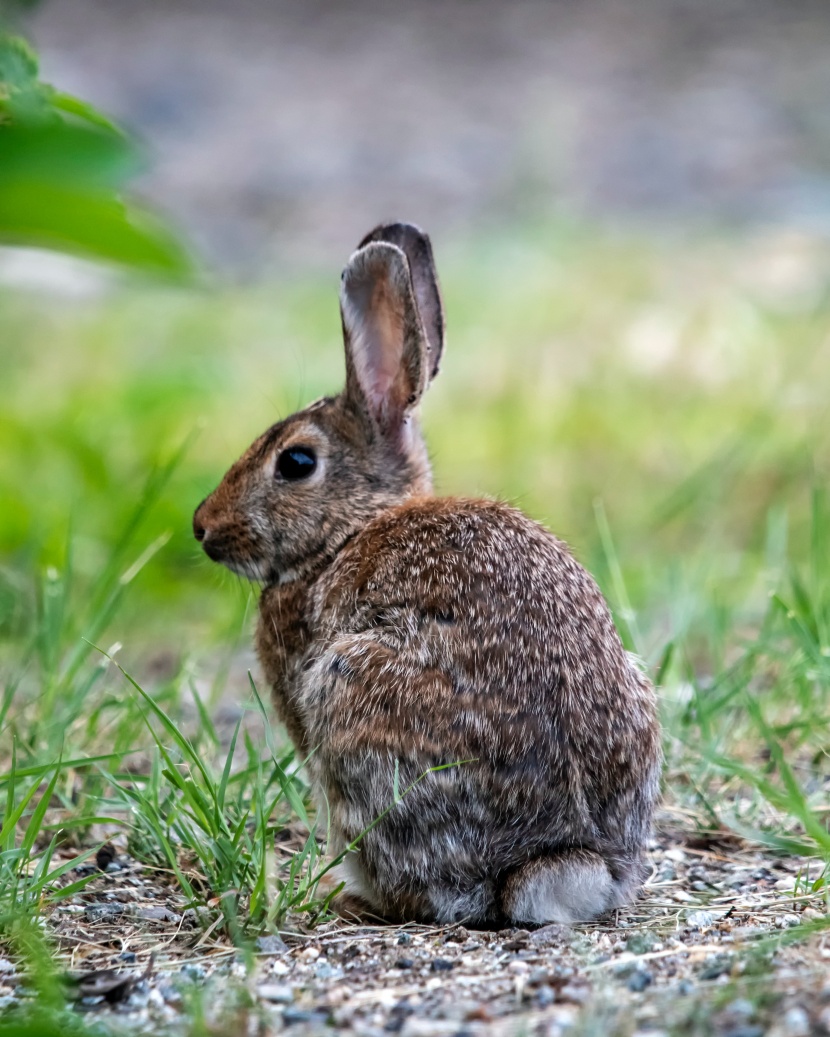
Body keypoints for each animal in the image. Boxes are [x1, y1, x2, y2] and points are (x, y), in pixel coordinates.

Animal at [192, 222, 659, 929]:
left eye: (295, 462)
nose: (203, 527)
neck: (349, 530)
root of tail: (556, 857)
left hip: (353, 699)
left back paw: (350, 897)